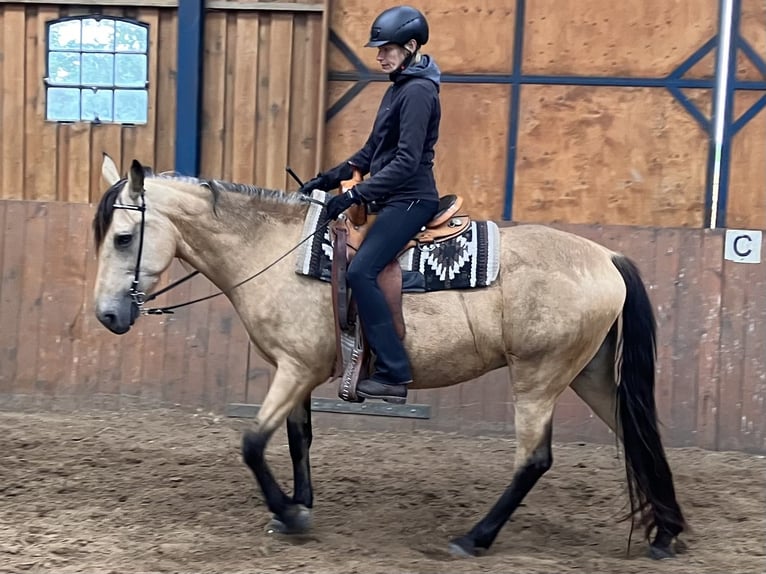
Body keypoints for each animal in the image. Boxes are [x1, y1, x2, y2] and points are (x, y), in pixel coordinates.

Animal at [91, 154, 687, 559]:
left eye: (123, 237)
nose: (107, 316)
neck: (274, 252)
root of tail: (606, 256)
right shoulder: (298, 369)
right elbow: (298, 438)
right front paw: (299, 506)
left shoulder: (296, 369)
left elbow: (253, 443)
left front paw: (288, 513)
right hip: (587, 375)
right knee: (638, 435)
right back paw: (666, 532)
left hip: (539, 376)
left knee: (534, 460)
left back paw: (474, 537)